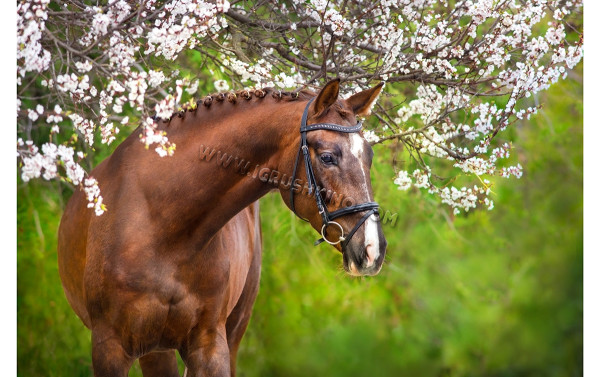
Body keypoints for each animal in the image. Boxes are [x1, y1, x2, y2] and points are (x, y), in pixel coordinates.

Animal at [56, 78, 384, 374]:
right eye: (327, 157)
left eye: (369, 156)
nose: (373, 250)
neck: (162, 228)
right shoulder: (109, 348)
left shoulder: (210, 346)